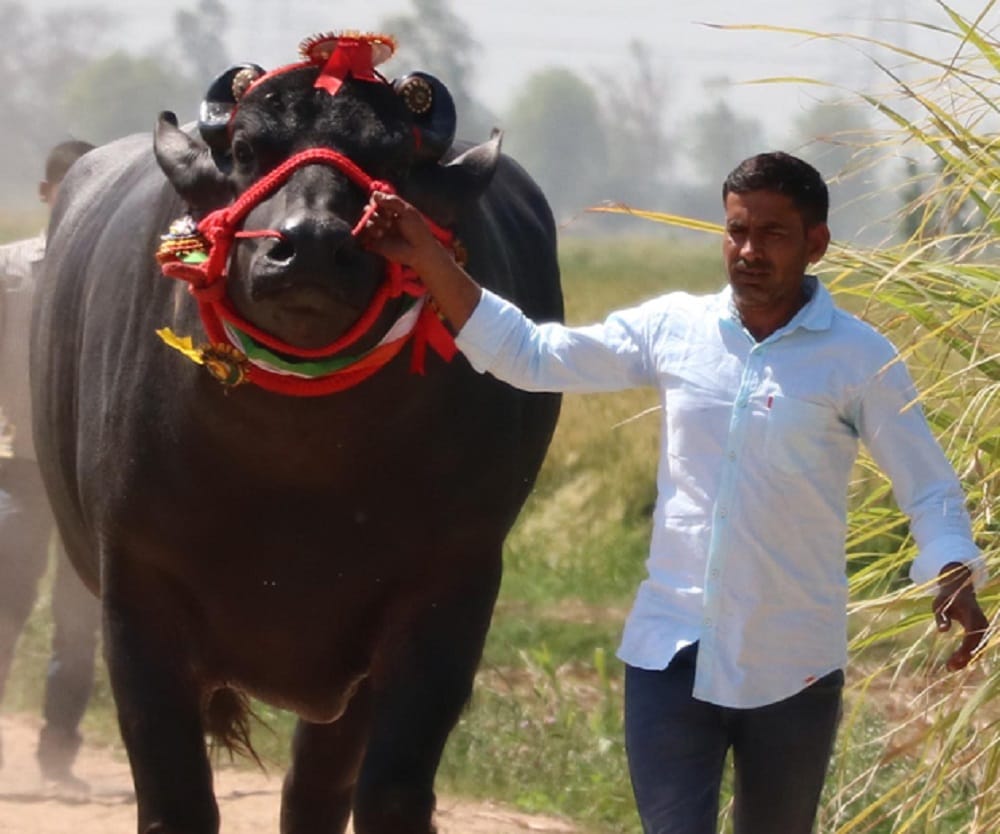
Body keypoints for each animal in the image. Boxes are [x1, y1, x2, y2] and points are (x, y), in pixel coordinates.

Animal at [31, 33, 562, 834]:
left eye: (389, 158)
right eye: (249, 148)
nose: (310, 245)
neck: (299, 461)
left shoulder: (452, 590)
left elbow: (392, 790)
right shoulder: (135, 589)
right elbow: (174, 794)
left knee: (315, 787)